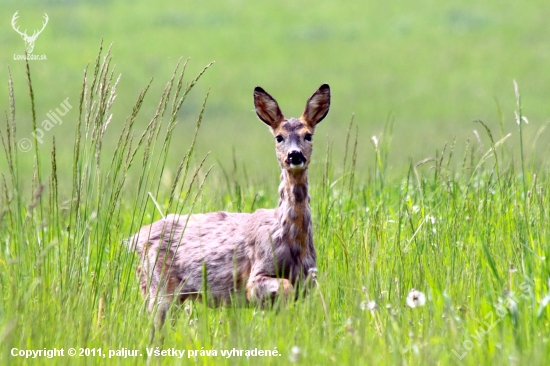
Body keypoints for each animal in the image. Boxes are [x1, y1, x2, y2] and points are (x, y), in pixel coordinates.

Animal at [127, 83, 330, 338]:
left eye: (308, 135)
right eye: (279, 137)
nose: (294, 155)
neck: (291, 238)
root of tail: (136, 238)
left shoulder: (308, 282)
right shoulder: (258, 271)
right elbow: (281, 288)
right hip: (160, 286)